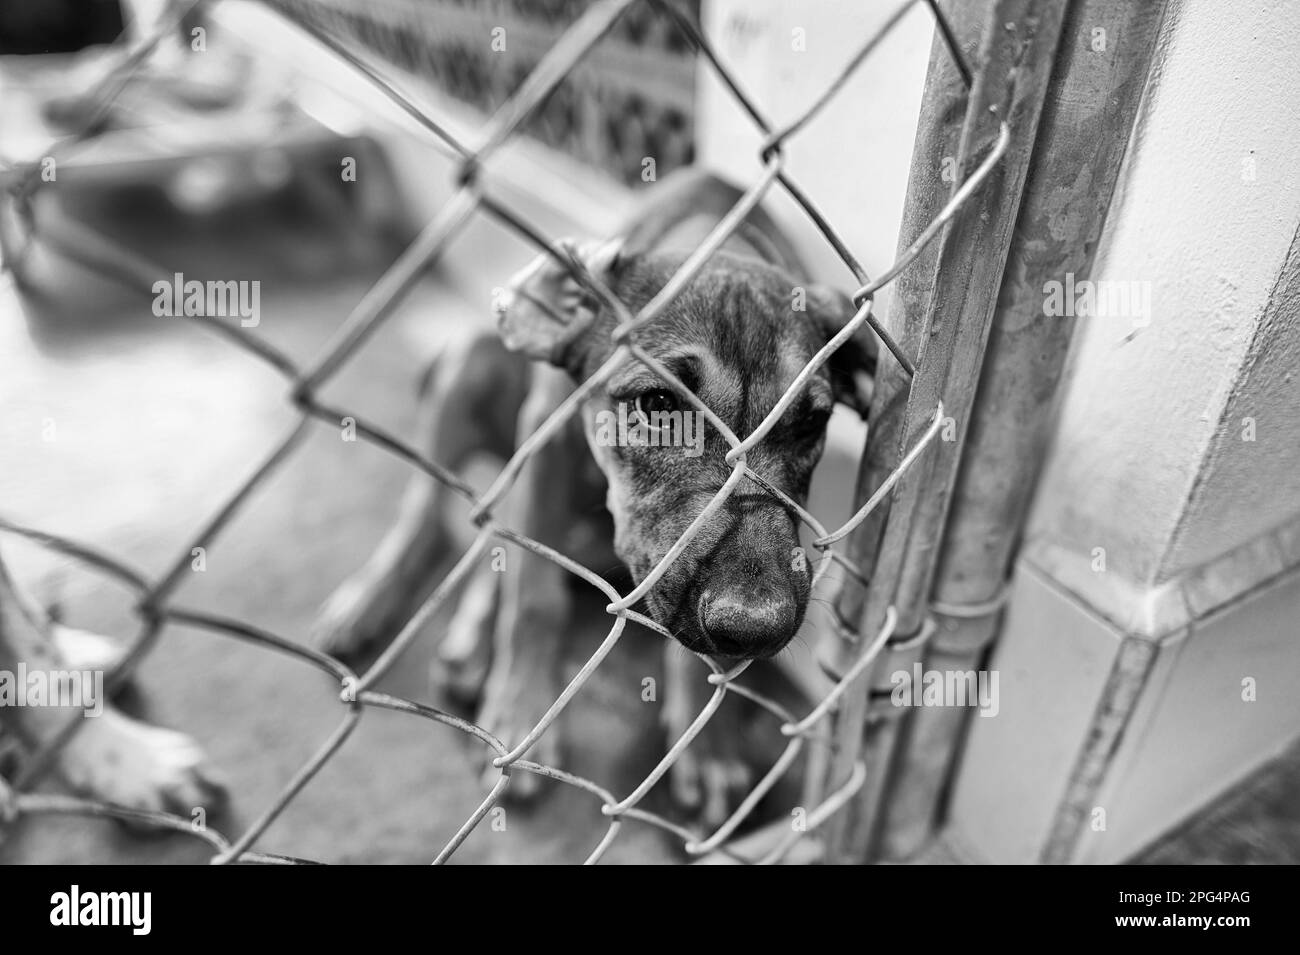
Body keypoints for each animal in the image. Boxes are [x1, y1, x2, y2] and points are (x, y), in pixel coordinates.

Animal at [310, 170, 878, 821]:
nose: (759, 630)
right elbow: (534, 599)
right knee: (427, 515)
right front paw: (523, 714)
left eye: (811, 423)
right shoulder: (545, 440)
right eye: (656, 404)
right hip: (472, 360)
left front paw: (707, 742)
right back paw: (371, 603)